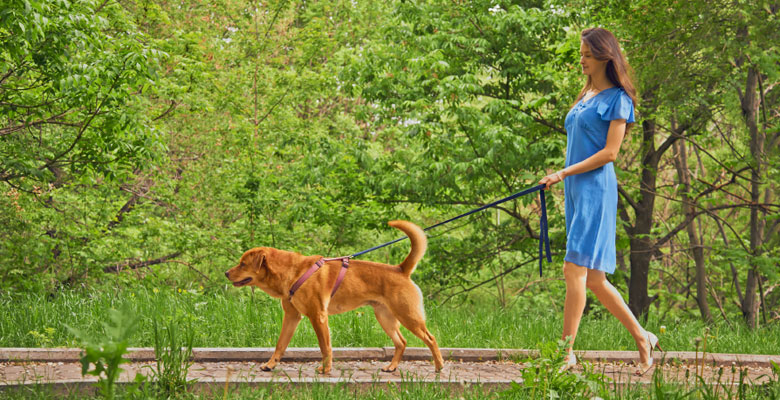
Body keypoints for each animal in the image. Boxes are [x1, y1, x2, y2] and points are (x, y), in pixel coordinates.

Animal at [225, 222, 444, 376]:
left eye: (243, 264)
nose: (226, 273)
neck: (293, 273)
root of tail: (401, 269)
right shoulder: (292, 316)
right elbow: (280, 344)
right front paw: (270, 365)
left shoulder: (318, 316)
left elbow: (325, 347)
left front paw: (325, 370)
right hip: (386, 318)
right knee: (401, 342)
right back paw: (391, 367)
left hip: (408, 316)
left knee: (431, 338)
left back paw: (439, 365)